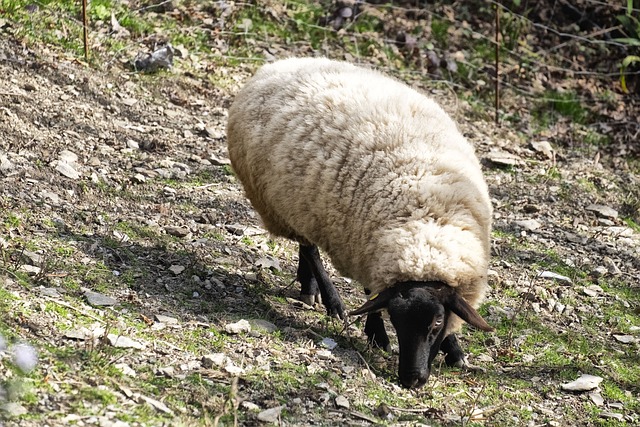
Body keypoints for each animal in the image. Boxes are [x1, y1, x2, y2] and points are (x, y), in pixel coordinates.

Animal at [228, 56, 492, 388]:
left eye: (436, 322)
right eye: (396, 321)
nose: (411, 379)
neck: (426, 226)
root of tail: (280, 64)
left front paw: (454, 351)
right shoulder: (365, 245)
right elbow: (372, 296)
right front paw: (377, 335)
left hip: (301, 203)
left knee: (305, 245)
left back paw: (308, 287)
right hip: (285, 202)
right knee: (311, 250)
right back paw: (332, 302)